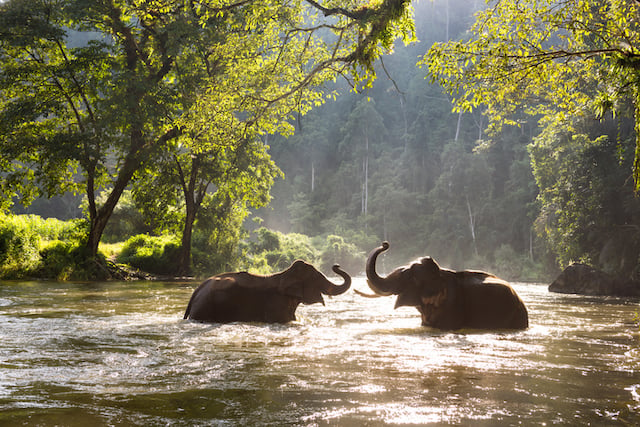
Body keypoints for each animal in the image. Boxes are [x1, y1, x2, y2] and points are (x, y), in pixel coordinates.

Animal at [182, 260, 352, 324]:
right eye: (316, 278)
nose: (336, 265)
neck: (284, 274)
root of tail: (197, 290)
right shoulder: (276, 304)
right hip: (205, 308)